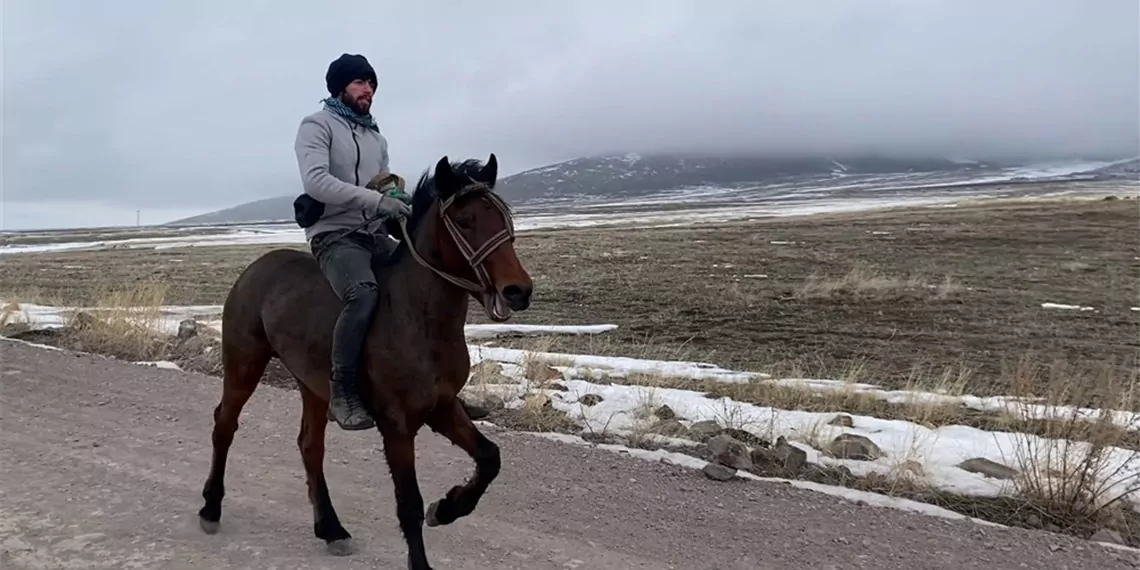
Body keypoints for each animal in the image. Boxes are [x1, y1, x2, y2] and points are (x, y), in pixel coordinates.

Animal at [197, 153, 533, 567]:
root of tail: (255, 268)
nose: (517, 290)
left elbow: (489, 457)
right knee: (224, 425)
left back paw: (331, 528)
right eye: (465, 220)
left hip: (314, 385)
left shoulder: (442, 406)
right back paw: (211, 508)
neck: (419, 319)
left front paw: (447, 508)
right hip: (244, 366)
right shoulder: (397, 425)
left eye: (504, 215)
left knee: (310, 445)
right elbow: (409, 504)